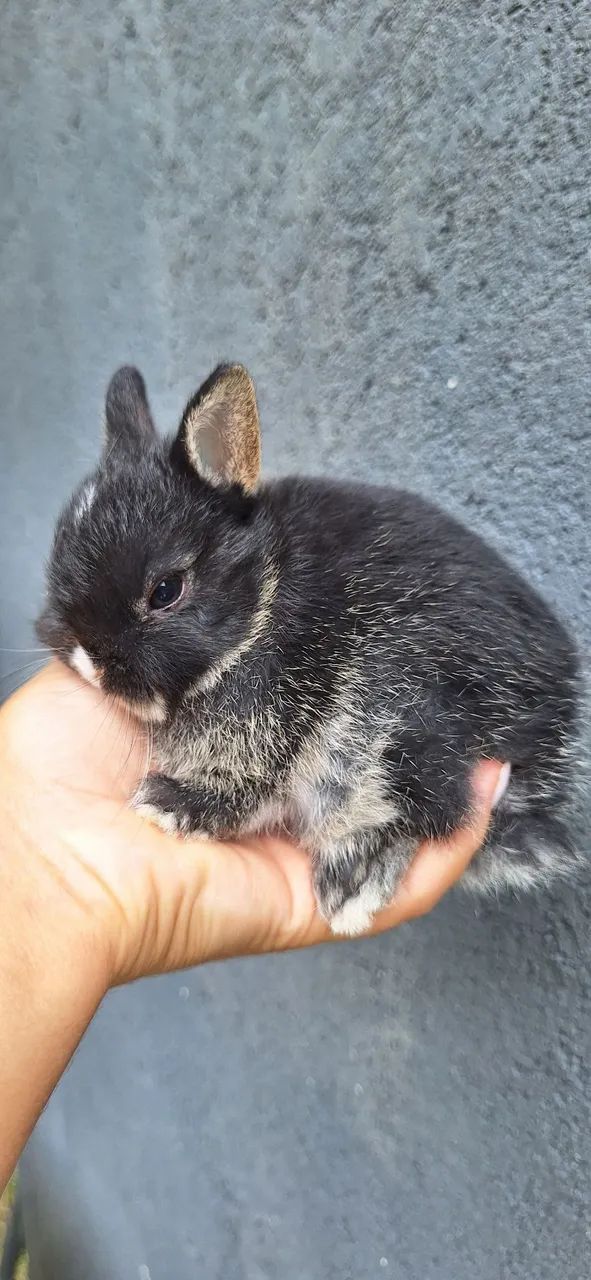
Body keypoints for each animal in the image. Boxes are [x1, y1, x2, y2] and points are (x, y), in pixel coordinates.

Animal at [37, 362, 582, 935]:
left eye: (166, 591)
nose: (91, 662)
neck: (264, 601)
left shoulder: (275, 721)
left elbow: (247, 786)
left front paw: (169, 804)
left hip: (405, 732)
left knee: (428, 811)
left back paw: (350, 887)